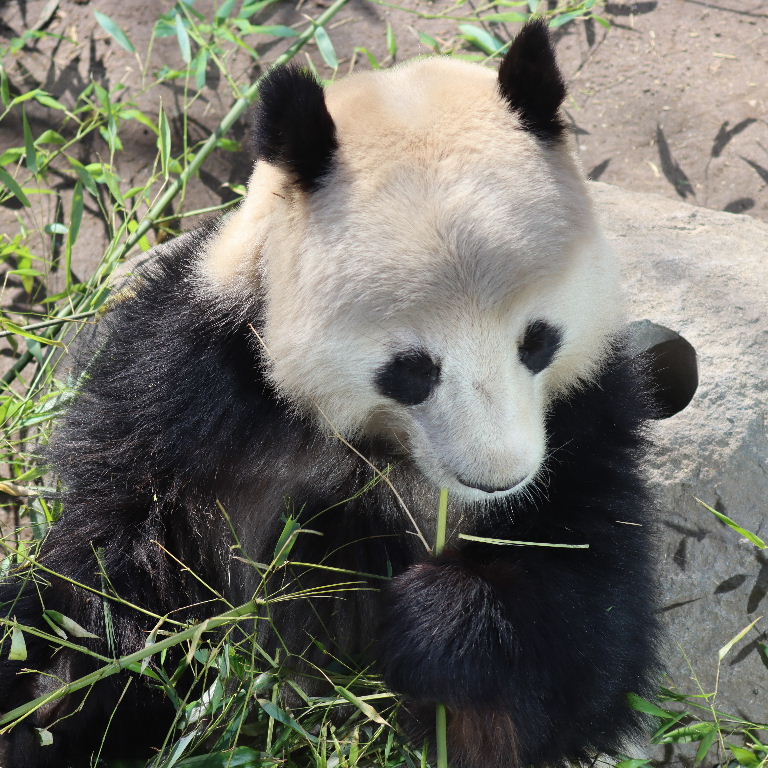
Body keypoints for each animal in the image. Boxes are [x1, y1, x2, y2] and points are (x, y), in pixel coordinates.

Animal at [0, 20, 697, 768]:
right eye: (413, 368)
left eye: (537, 341)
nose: (498, 479)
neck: (377, 449)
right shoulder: (188, 385)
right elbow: (119, 579)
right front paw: (53, 687)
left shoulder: (588, 420)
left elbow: (585, 632)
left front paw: (437, 622)